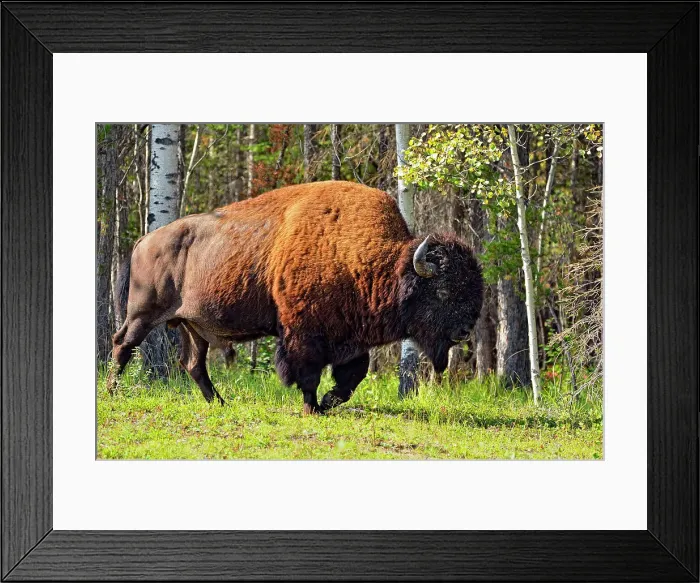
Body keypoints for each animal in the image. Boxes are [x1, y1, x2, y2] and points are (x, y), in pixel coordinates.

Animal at [108, 181, 483, 414]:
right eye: (444, 291)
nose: (465, 330)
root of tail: (144, 241)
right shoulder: (303, 333)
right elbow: (308, 373)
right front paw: (312, 407)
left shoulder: (352, 337)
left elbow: (353, 376)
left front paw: (329, 402)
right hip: (143, 313)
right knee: (123, 344)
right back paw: (112, 392)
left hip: (192, 325)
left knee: (192, 364)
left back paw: (219, 403)